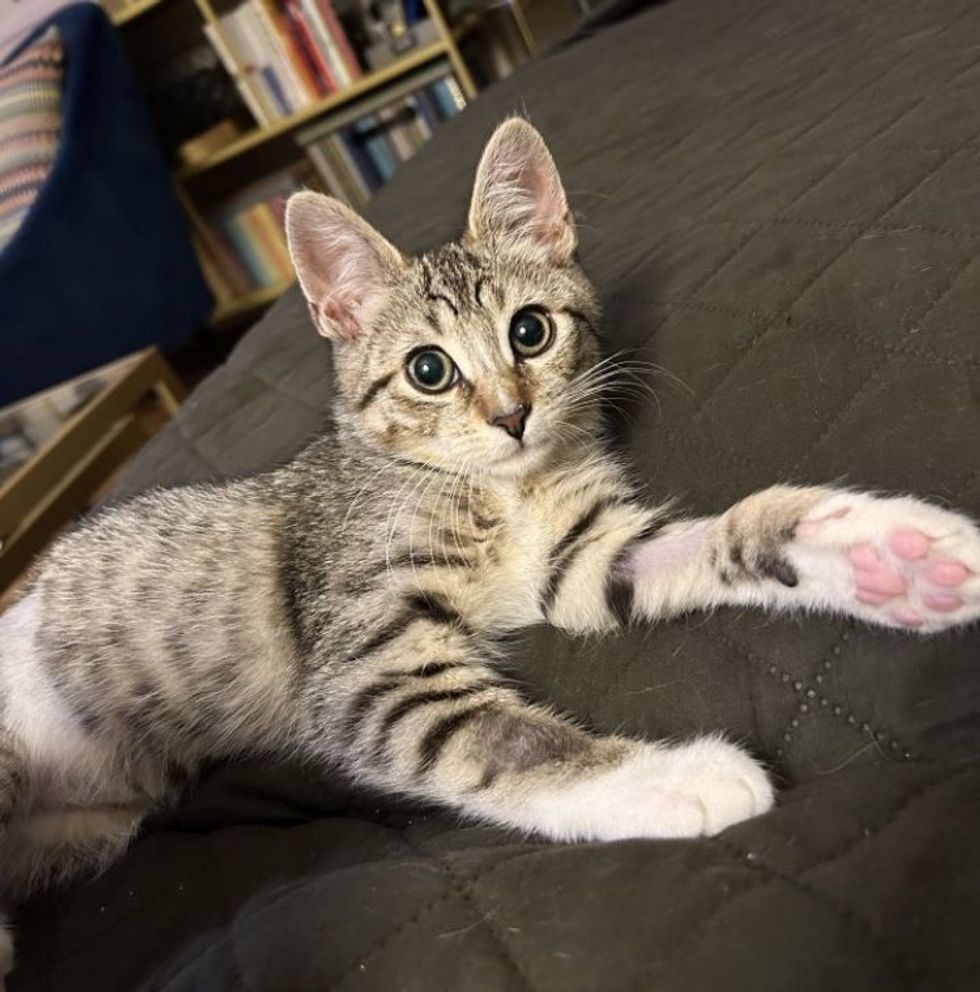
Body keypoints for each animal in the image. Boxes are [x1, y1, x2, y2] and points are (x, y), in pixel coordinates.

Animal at [1, 118, 980, 984]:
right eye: (428, 370)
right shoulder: (365, 657)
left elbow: (719, 534)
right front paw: (676, 778)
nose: (512, 415)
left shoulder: (579, 560)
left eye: (530, 331)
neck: (495, 491)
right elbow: (501, 739)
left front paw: (887, 555)